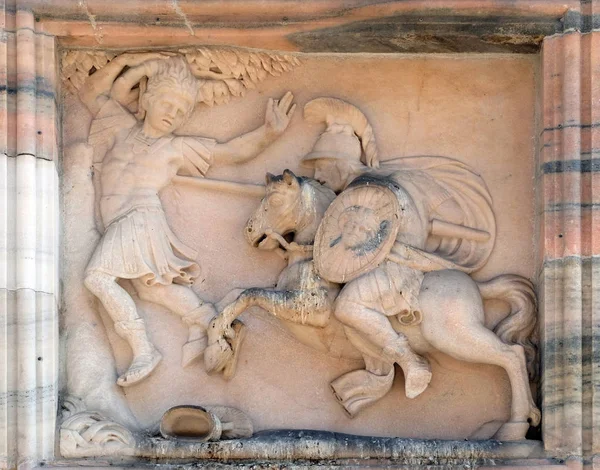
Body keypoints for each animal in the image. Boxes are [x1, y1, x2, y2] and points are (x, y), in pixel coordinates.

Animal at [206, 169, 540, 440]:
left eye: (274, 199)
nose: (249, 231)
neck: (308, 257)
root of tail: (477, 286)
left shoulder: (310, 309)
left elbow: (249, 294)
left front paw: (219, 346)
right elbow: (235, 293)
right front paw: (220, 337)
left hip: (455, 336)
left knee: (511, 355)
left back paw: (512, 427)